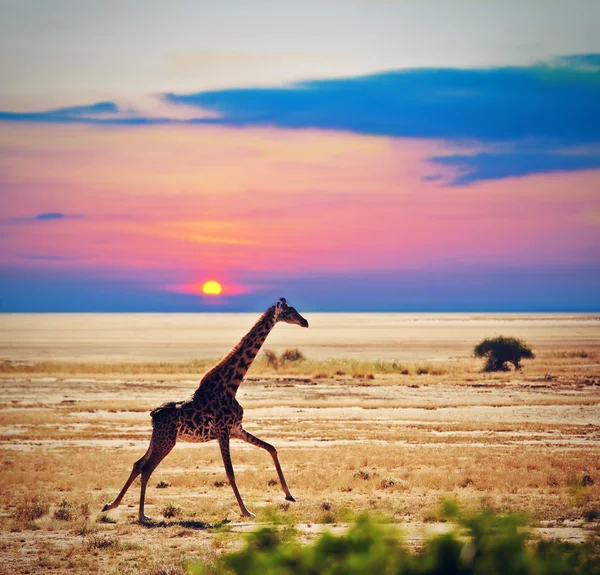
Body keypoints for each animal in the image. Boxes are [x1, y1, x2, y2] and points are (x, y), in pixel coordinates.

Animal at [102, 296, 310, 520]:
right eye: (288, 312)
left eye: (294, 309)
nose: (305, 322)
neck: (231, 386)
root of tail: (154, 415)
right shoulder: (223, 431)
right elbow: (230, 472)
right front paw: (246, 511)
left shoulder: (236, 429)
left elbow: (271, 448)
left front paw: (289, 495)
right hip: (167, 441)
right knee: (147, 468)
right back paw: (141, 515)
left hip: (159, 438)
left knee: (138, 463)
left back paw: (111, 505)